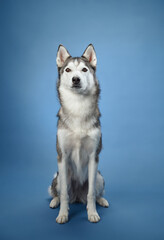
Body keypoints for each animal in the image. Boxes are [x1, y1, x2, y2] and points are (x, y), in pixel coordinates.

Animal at [48, 44, 108, 224]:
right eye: (68, 70)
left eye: (84, 69)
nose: (76, 79)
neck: (78, 106)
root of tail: (77, 197)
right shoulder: (62, 156)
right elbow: (64, 195)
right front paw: (63, 214)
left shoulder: (93, 156)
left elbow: (91, 194)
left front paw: (92, 213)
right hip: (60, 177)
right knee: (60, 193)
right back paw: (55, 202)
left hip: (99, 177)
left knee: (94, 193)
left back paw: (102, 201)